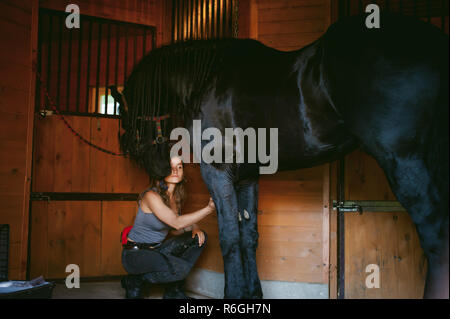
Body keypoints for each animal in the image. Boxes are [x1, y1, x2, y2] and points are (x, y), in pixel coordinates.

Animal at [110, 13, 448, 300]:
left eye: (128, 119)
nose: (158, 170)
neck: (207, 80)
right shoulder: (247, 176)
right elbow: (249, 237)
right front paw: (252, 294)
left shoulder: (217, 171)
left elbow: (230, 237)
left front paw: (234, 294)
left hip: (403, 161)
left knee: (435, 238)